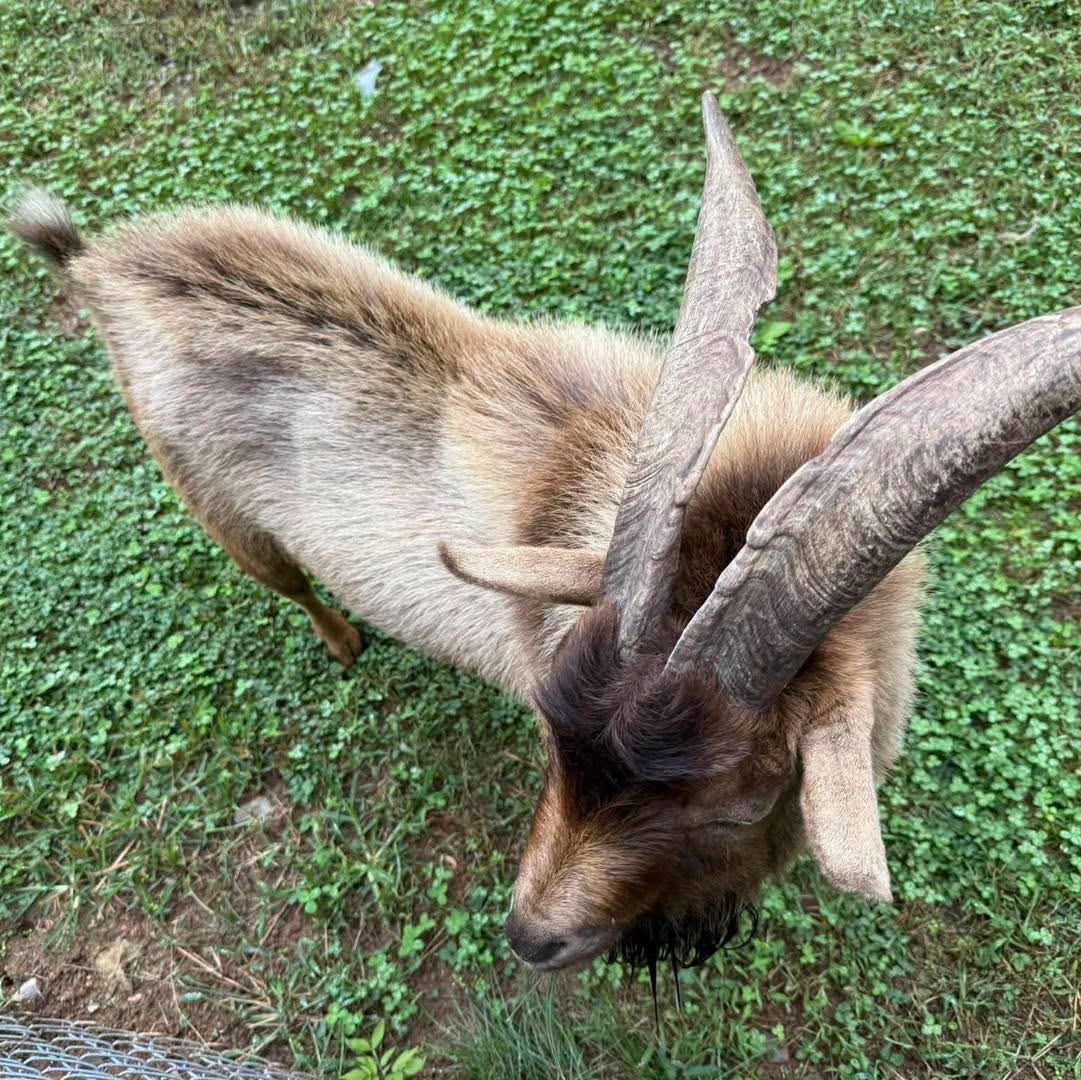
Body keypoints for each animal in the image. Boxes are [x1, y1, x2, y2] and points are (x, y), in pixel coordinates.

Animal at [12, 95, 1080, 985]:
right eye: (548, 737)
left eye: (738, 804)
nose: (532, 939)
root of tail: (99, 266)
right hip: (219, 511)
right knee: (291, 584)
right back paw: (345, 641)